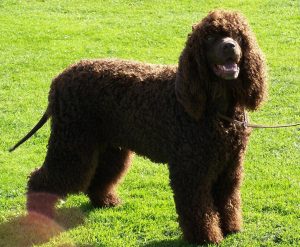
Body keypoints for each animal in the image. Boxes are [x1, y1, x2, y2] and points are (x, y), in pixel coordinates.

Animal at [10, 10, 266, 245]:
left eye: (238, 36)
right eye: (211, 37)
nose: (230, 46)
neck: (215, 109)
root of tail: (58, 79)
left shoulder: (230, 167)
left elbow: (228, 200)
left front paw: (230, 228)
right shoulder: (190, 170)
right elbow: (198, 208)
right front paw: (205, 237)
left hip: (109, 147)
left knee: (101, 176)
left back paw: (105, 201)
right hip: (72, 144)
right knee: (41, 179)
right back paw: (38, 218)